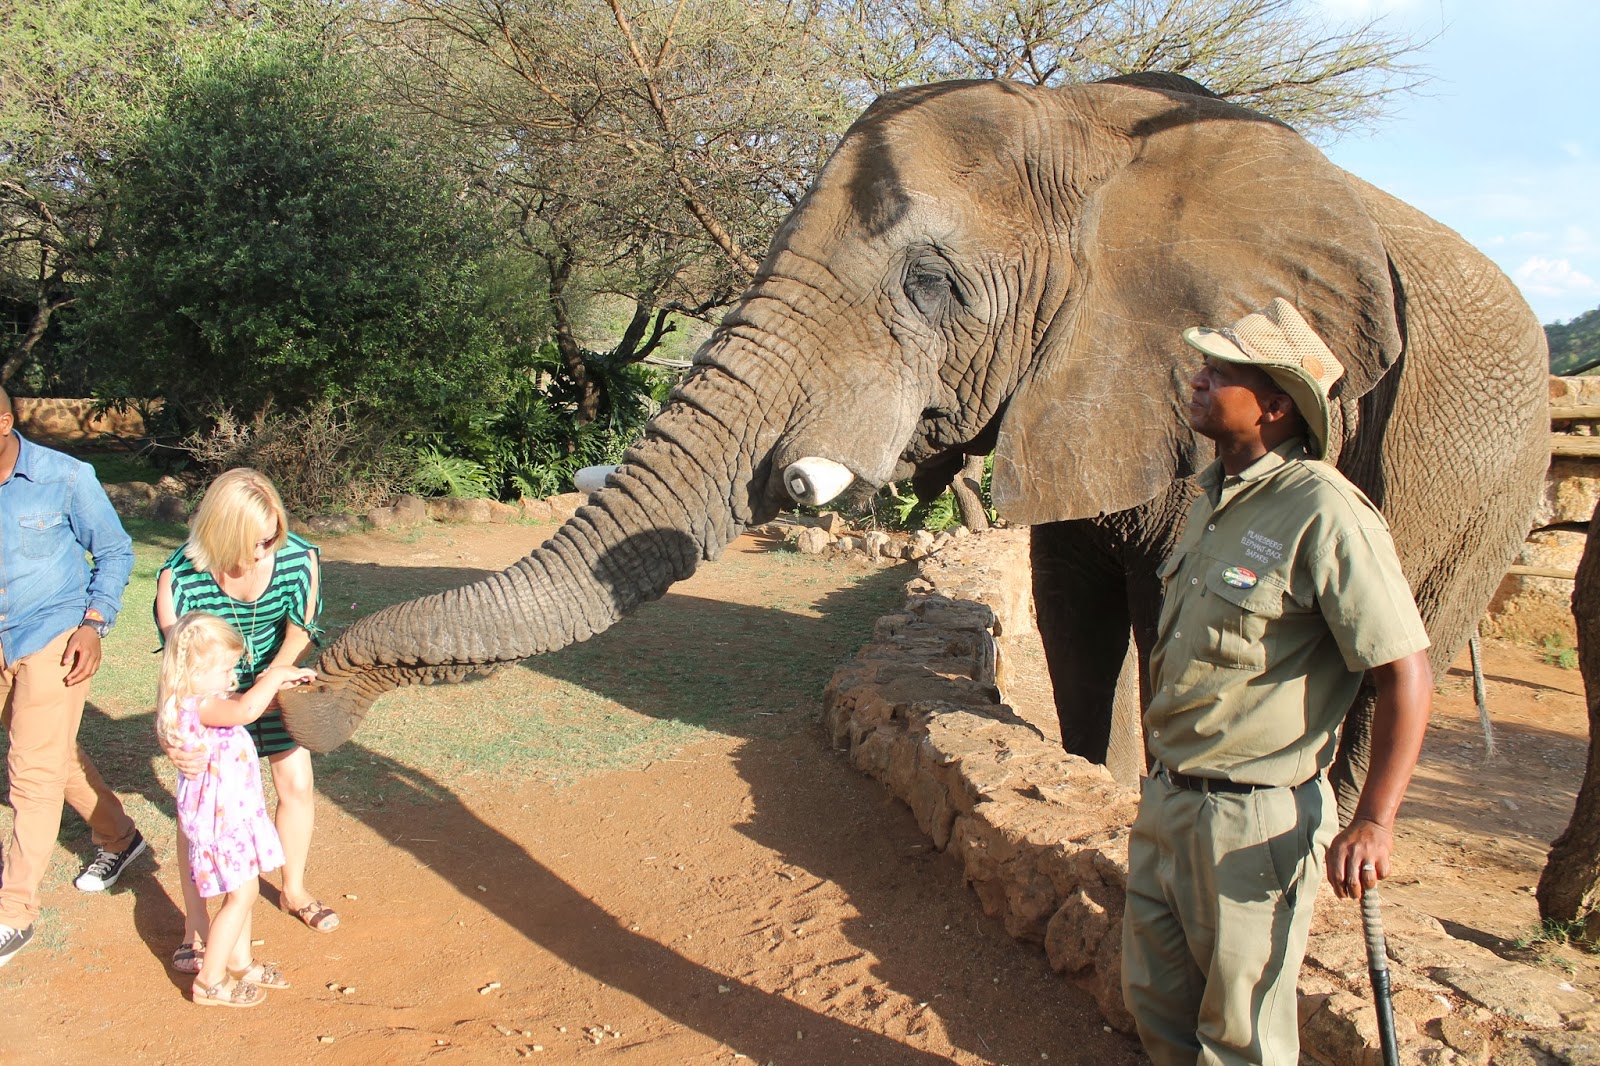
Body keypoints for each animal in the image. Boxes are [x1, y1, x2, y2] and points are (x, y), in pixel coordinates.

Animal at [281, 74, 1549, 820]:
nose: (311, 705)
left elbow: (1166, 617)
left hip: (1491, 488)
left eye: (931, 283)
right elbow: (1072, 609)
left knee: (1395, 671)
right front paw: (1089, 786)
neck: (1088, 123)